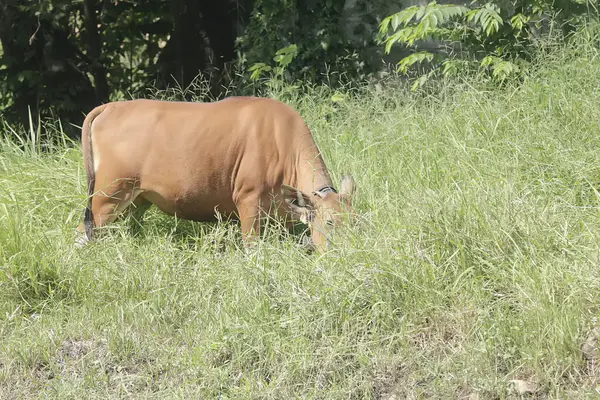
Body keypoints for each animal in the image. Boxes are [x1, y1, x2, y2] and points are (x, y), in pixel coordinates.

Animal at [75, 96, 356, 252]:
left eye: (357, 222)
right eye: (330, 222)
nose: (350, 251)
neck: (280, 141)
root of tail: (109, 107)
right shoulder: (248, 201)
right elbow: (252, 248)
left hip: (136, 200)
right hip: (107, 196)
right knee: (83, 234)